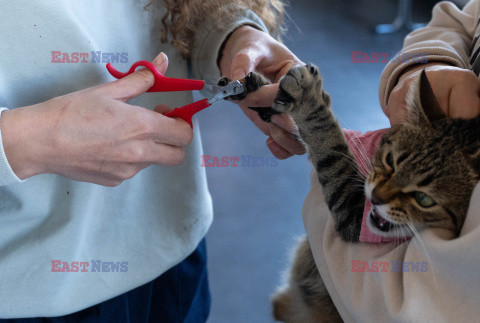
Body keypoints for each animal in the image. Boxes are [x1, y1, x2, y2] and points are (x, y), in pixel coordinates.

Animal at [231, 64, 480, 322]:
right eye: (389, 160)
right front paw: (261, 90)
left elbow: (329, 145)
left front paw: (309, 100)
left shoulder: (352, 212)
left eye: (424, 199)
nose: (375, 198)